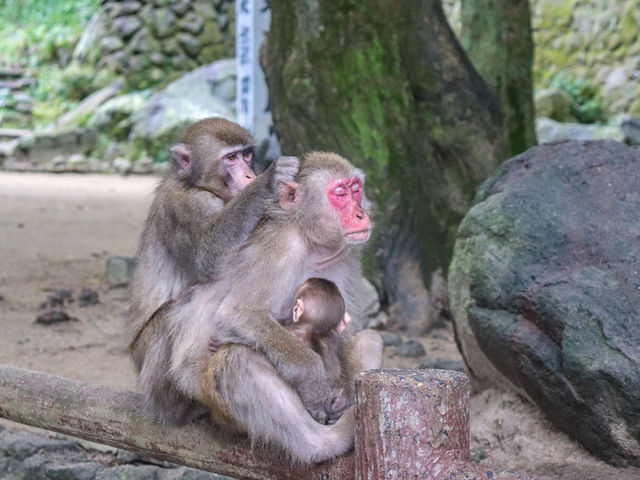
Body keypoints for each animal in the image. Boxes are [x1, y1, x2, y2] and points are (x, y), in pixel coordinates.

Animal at [129, 117, 302, 344]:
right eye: (231, 157)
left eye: (246, 154)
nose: (250, 175)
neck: (197, 185)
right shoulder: (185, 205)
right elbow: (206, 259)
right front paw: (269, 179)